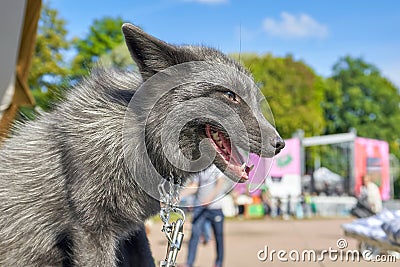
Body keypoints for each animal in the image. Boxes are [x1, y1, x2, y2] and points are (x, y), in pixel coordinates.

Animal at [0, 24, 284, 266]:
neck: (139, 138)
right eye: (229, 95)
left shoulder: (132, 233)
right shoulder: (90, 230)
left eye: (255, 100)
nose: (279, 144)